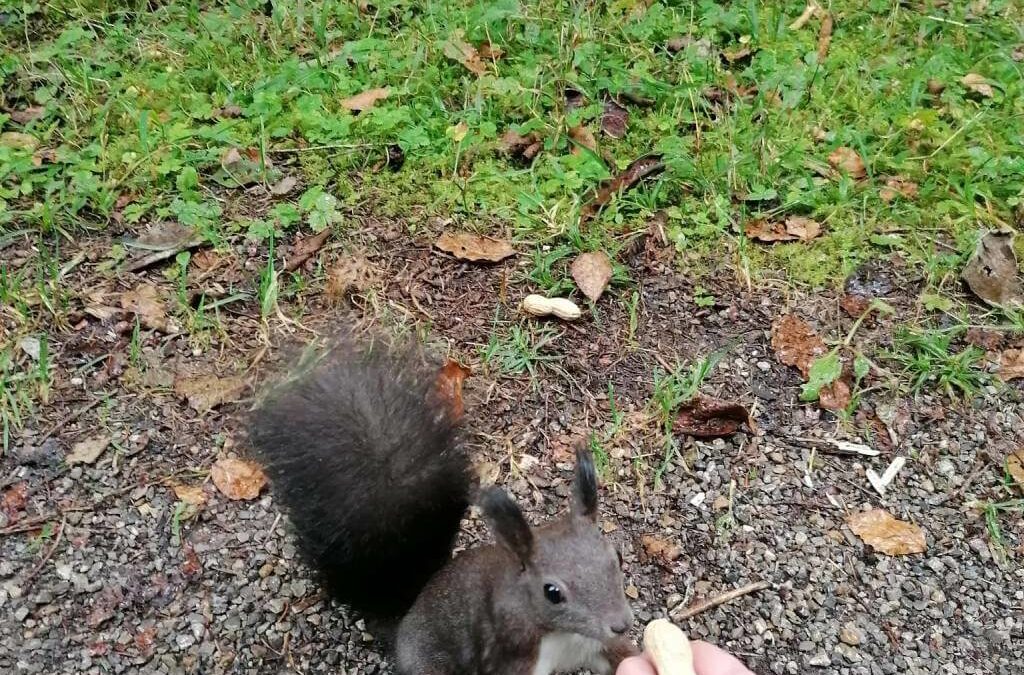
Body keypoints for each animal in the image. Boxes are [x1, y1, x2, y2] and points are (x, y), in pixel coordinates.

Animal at [245, 340, 638, 675]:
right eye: (552, 593)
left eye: (617, 557)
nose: (621, 624)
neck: (563, 636)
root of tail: (404, 622)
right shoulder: (511, 654)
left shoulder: (598, 645)